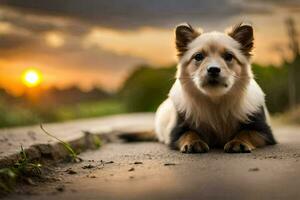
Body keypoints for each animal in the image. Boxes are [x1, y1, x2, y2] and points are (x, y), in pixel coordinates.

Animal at [155, 22, 276, 153]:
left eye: (229, 56)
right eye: (198, 56)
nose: (213, 70)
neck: (215, 99)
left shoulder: (264, 131)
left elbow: (246, 132)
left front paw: (238, 142)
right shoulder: (177, 131)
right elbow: (190, 133)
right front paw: (194, 142)